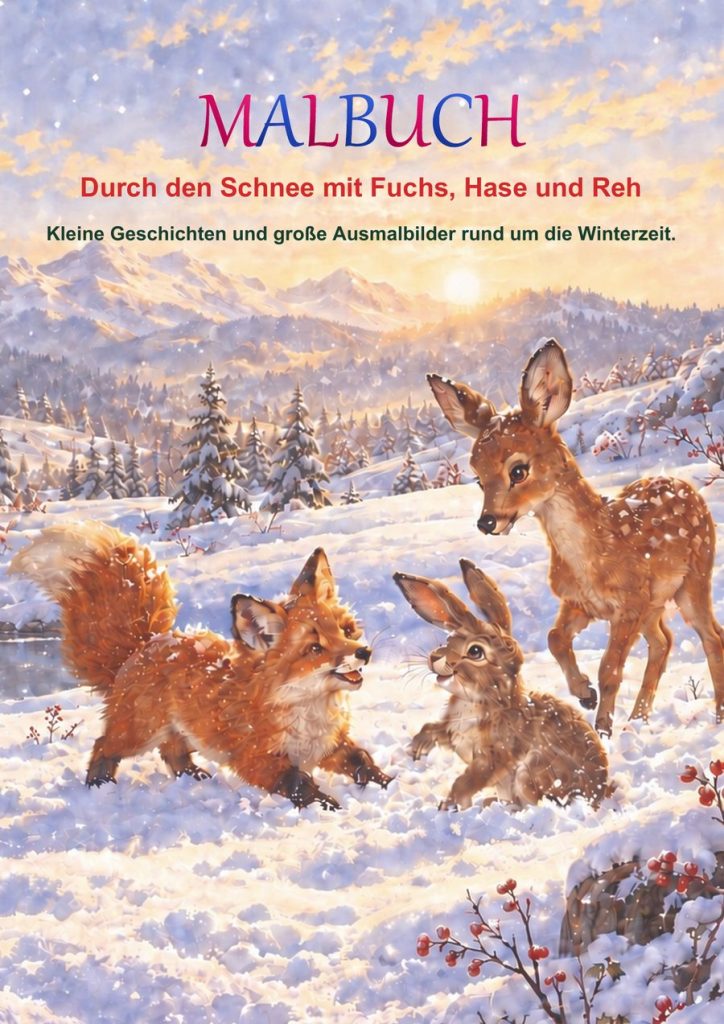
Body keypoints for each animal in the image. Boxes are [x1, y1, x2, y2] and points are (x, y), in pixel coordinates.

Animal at [10, 522, 391, 809]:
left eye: (346, 631)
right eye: (315, 648)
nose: (364, 652)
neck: (307, 709)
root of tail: (146, 643)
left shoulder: (330, 745)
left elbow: (362, 762)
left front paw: (386, 783)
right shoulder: (258, 759)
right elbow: (299, 783)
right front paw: (331, 807)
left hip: (179, 731)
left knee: (173, 754)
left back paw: (193, 777)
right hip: (140, 733)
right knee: (105, 744)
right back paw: (99, 784)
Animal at [394, 559, 610, 810]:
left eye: (475, 652)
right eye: (448, 639)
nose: (434, 658)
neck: (482, 699)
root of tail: (601, 794)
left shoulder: (496, 755)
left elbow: (466, 781)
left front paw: (449, 806)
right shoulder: (452, 732)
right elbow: (433, 728)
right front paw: (417, 748)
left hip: (530, 774)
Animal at [427, 339, 724, 736]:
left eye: (517, 470)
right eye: (477, 477)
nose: (487, 522)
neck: (593, 556)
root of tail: (684, 485)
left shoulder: (628, 604)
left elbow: (610, 668)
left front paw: (603, 728)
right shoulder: (579, 602)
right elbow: (555, 639)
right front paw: (585, 695)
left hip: (693, 580)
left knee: (711, 637)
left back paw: (713, 718)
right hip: (655, 604)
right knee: (664, 642)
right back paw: (638, 719)